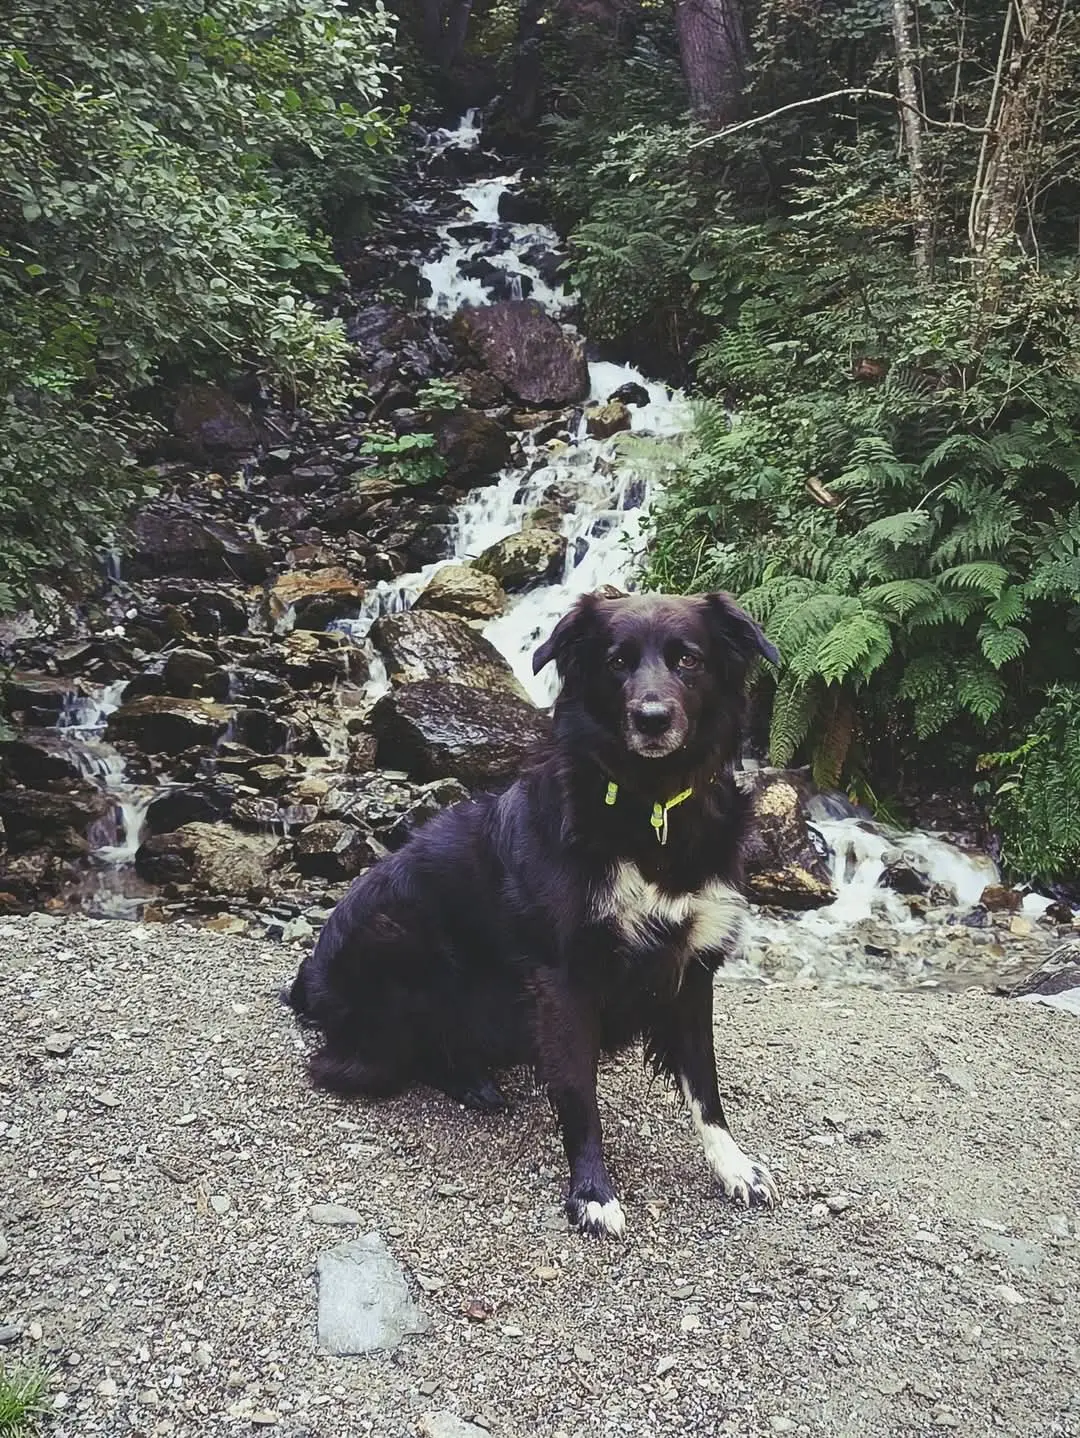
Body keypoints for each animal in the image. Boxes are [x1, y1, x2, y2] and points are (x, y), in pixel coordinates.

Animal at [287, 592, 776, 1236]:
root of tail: (309, 980)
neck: (650, 808)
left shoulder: (692, 967)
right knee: (360, 1061)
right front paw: (592, 1193)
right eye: (617, 662)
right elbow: (579, 1093)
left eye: (688, 660)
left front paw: (733, 1165)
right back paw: (468, 1081)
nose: (650, 718)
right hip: (402, 940)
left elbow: (705, 1083)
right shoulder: (564, 979)